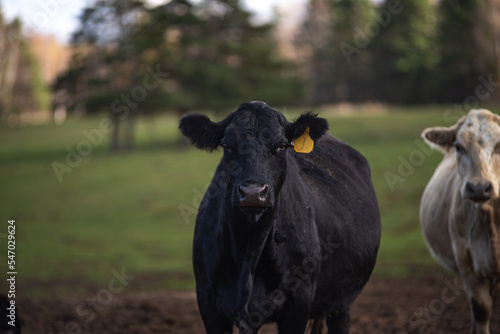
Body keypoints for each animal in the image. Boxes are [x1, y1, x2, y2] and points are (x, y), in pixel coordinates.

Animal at [179, 102, 378, 334]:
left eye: (282, 146)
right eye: (226, 145)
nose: (253, 192)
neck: (250, 249)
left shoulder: (298, 302)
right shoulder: (208, 299)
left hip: (342, 301)